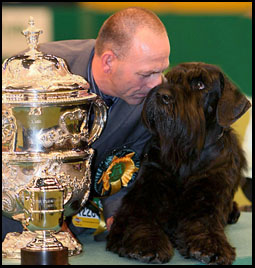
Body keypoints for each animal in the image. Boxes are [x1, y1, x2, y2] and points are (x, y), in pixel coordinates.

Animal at [106, 62, 251, 264]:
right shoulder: (147, 191)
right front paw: (147, 242)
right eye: (168, 79)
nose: (161, 95)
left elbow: (205, 223)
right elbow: (139, 218)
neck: (186, 156)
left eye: (199, 85)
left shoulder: (208, 196)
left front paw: (211, 246)